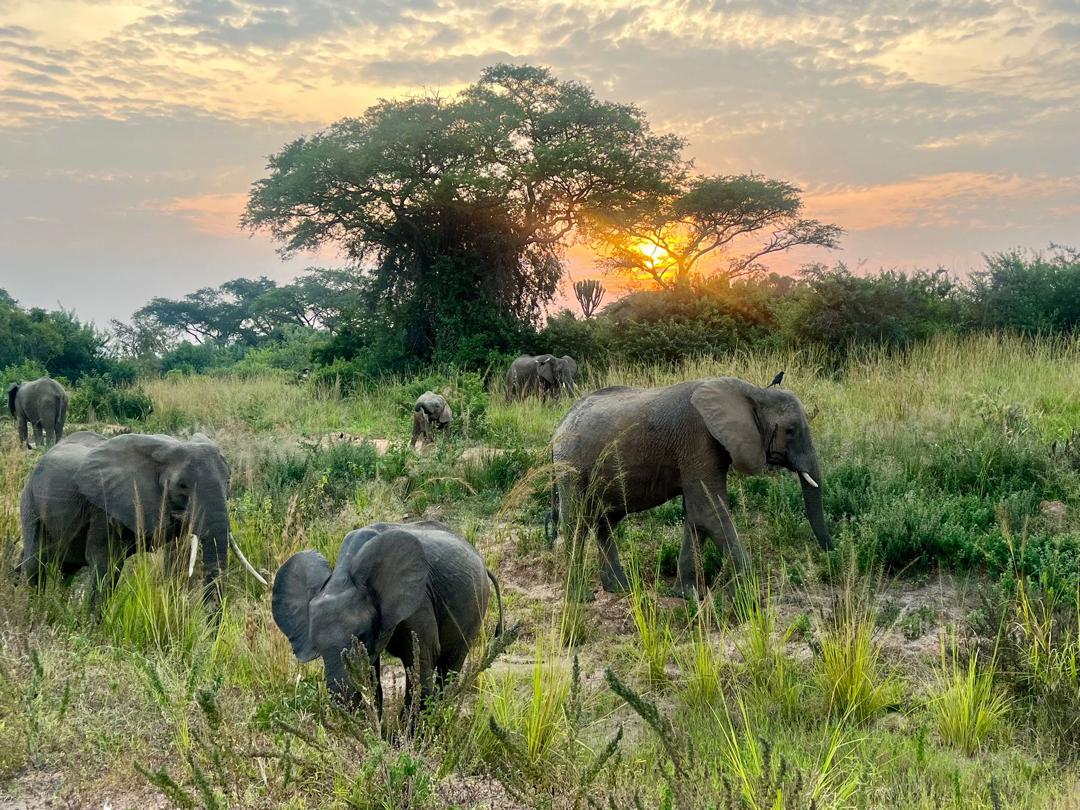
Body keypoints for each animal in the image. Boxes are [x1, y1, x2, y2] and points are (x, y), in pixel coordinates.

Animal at [17, 431, 265, 611]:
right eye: (182, 486)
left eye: (228, 481)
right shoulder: (103, 508)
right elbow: (105, 564)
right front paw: (91, 629)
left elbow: (177, 562)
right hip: (30, 501)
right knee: (36, 561)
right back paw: (33, 609)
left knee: (65, 568)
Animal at [272, 520, 502, 714]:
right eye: (318, 649)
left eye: (361, 637)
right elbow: (373, 678)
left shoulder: (419, 602)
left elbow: (422, 661)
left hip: (475, 603)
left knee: (451, 662)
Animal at [551, 377, 831, 597]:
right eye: (791, 430)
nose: (832, 551)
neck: (752, 392)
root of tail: (560, 423)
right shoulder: (699, 440)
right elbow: (709, 512)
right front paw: (742, 596)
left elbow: (697, 515)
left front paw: (687, 594)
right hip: (571, 464)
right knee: (577, 523)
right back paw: (580, 598)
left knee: (605, 522)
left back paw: (619, 588)